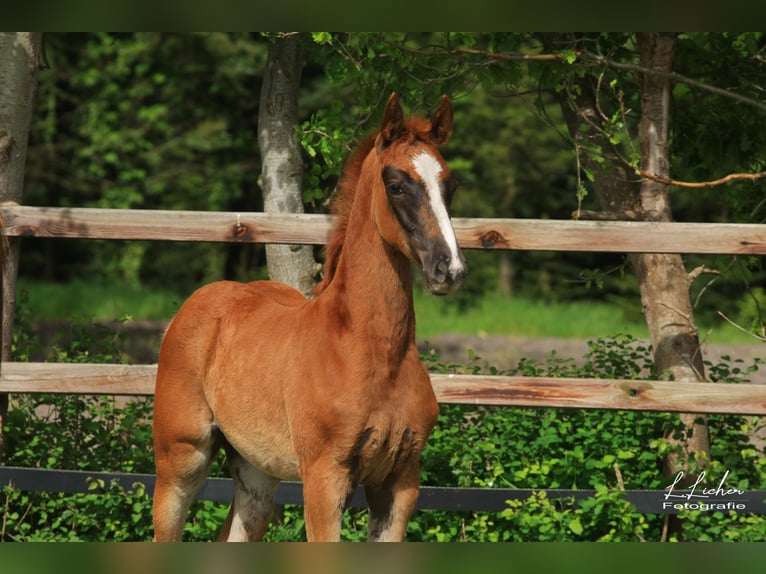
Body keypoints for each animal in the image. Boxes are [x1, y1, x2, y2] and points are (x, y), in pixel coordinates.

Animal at [151, 92, 466, 542]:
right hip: (181, 459)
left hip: (256, 471)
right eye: (397, 185)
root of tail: (196, 302)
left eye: (451, 185)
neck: (373, 352)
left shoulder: (401, 481)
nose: (449, 269)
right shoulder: (324, 478)